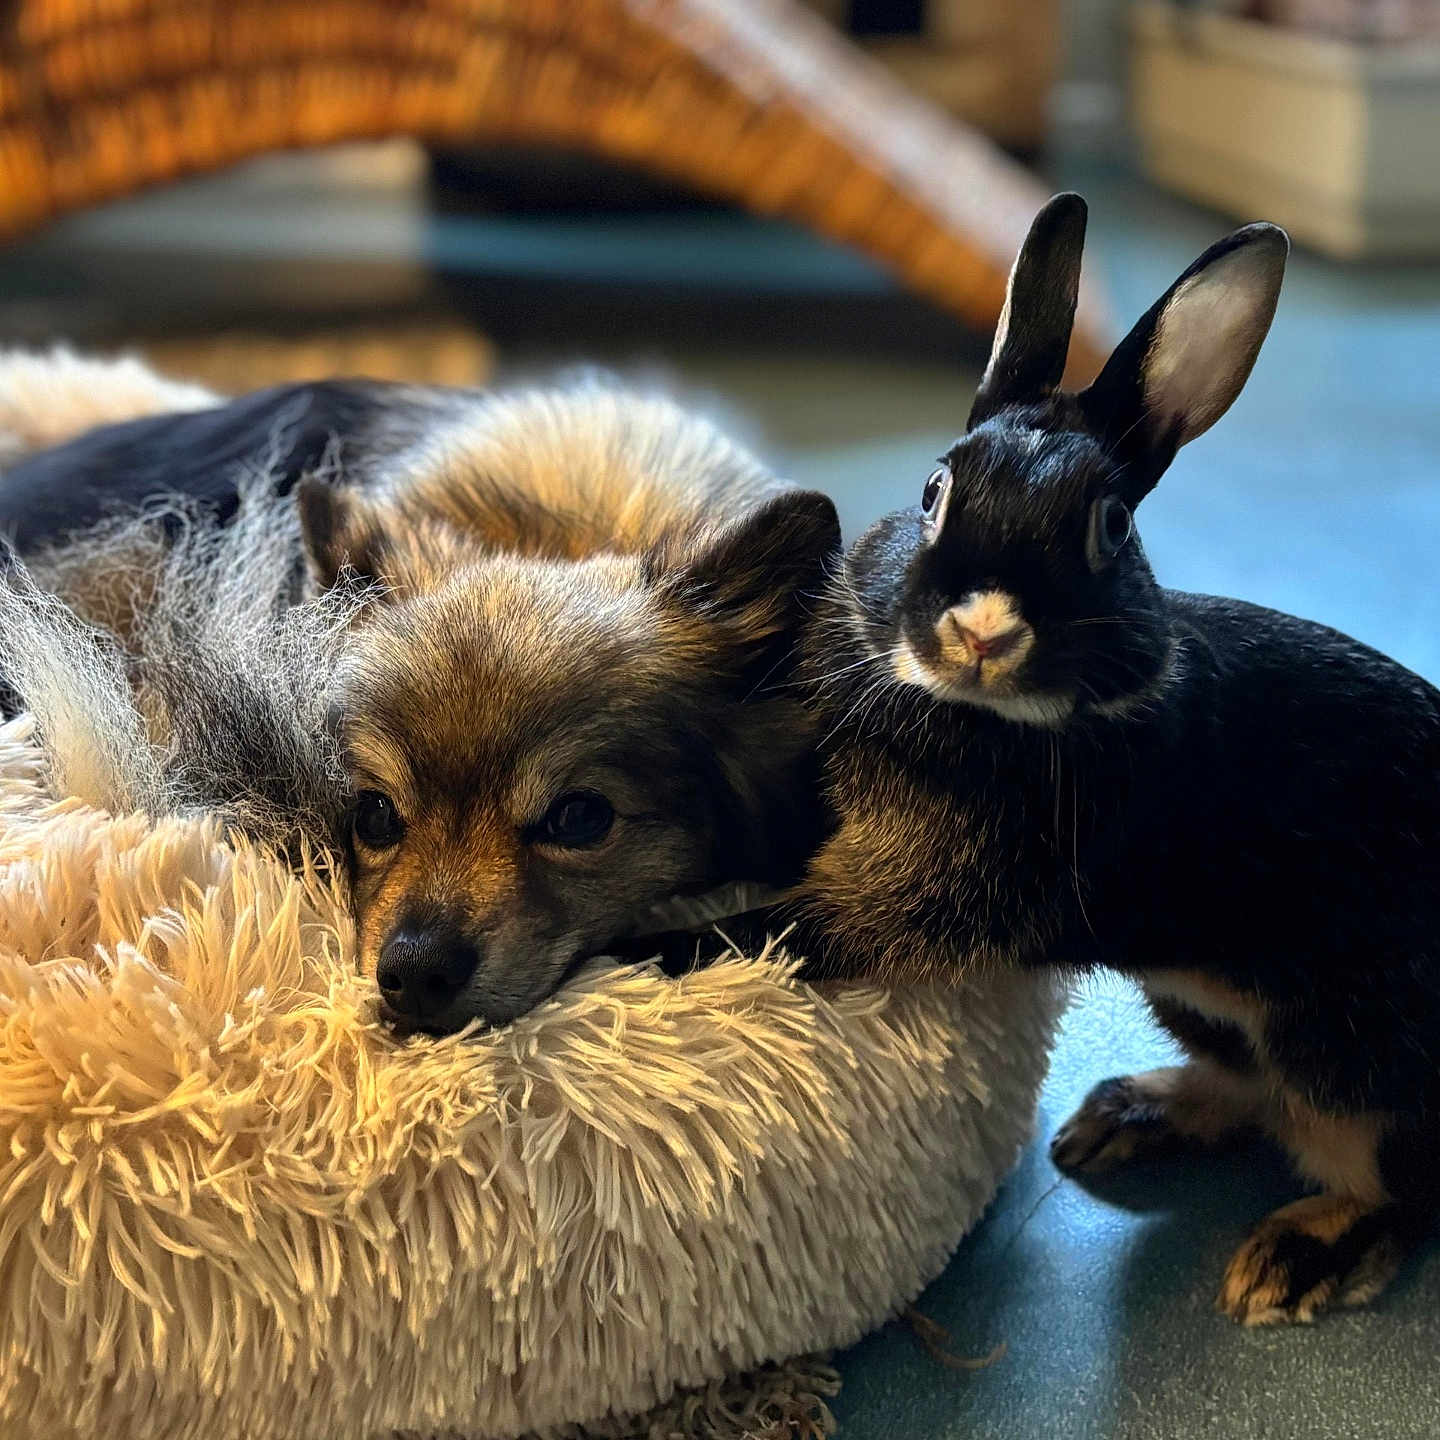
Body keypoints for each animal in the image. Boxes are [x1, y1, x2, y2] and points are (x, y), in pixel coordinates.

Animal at [631, 194, 1440, 1325]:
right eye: (934, 489)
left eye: (1110, 525)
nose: (981, 628)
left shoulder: (922, 897)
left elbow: (779, 929)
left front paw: (633, 949)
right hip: (1200, 1001)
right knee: (1254, 1093)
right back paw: (1121, 1121)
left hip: (1346, 1049)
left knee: (1396, 1181)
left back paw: (1290, 1260)